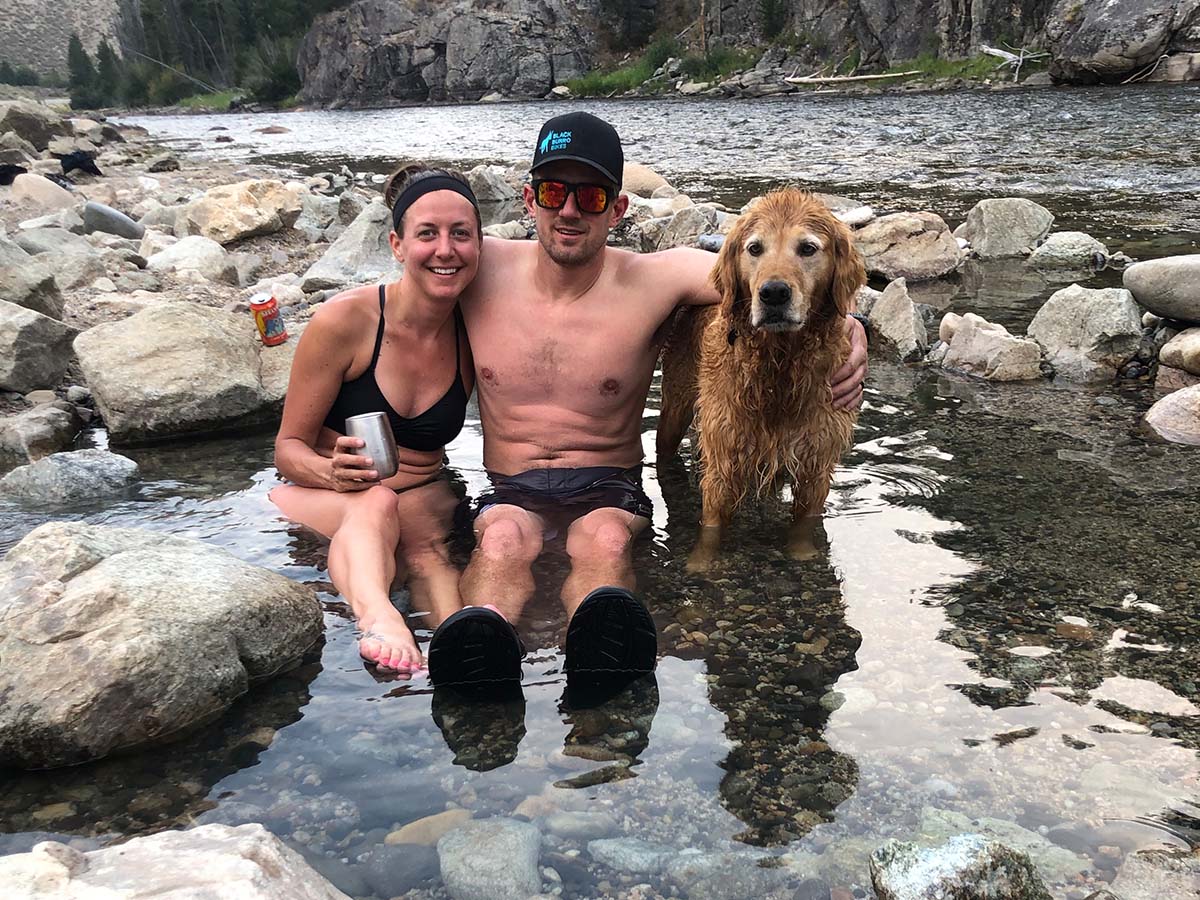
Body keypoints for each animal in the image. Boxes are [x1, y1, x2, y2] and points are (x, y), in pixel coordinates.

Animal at [657, 189, 864, 571]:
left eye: (808, 248)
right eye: (755, 248)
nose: (774, 293)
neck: (778, 365)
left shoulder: (816, 459)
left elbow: (804, 523)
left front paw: (803, 556)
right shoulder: (724, 456)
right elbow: (712, 526)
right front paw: (701, 564)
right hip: (676, 407)